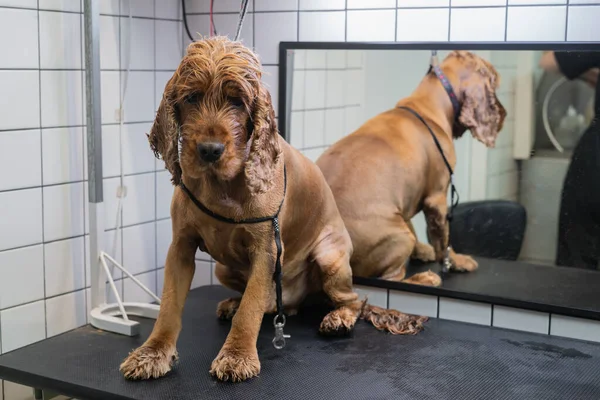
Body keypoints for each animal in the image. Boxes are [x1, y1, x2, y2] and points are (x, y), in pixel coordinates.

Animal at [117, 37, 426, 384]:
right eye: (192, 97)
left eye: (237, 102)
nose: (209, 151)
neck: (222, 186)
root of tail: (294, 302)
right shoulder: (180, 247)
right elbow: (169, 305)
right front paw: (152, 353)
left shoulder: (267, 250)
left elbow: (250, 311)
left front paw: (237, 356)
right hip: (224, 268)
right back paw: (236, 303)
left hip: (329, 258)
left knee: (354, 299)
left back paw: (338, 319)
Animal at [318, 50, 506, 286]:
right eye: (494, 80)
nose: (504, 114)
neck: (428, 106)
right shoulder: (437, 197)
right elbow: (443, 240)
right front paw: (455, 261)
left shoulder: (407, 196)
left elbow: (413, 224)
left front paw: (422, 251)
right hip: (398, 237)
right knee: (392, 279)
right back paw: (425, 279)